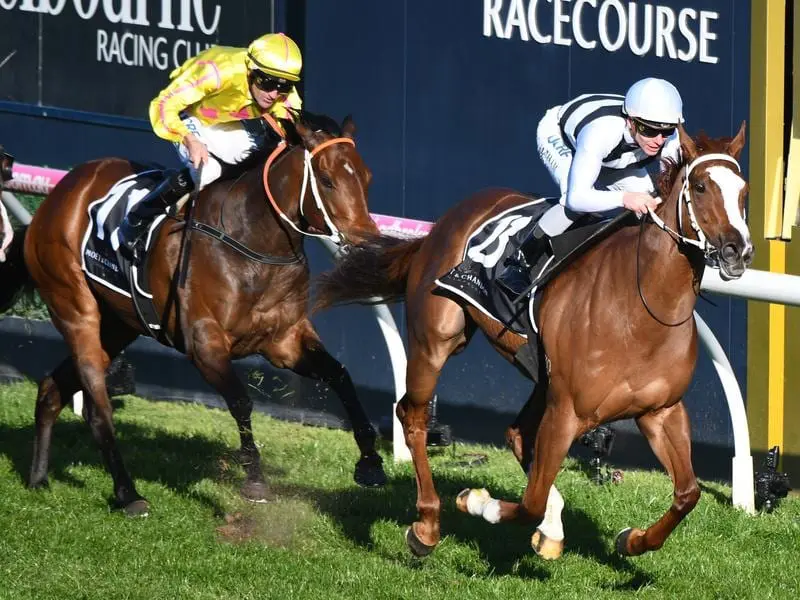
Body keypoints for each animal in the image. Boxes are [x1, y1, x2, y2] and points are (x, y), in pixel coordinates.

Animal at [0, 112, 388, 516]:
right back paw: (128, 493)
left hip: (117, 325)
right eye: (327, 180)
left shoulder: (284, 341)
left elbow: (340, 375)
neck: (252, 242)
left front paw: (370, 463)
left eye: (366, 177)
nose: (367, 241)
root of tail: (59, 194)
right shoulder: (204, 344)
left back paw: (38, 478)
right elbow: (241, 401)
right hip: (77, 310)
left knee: (51, 389)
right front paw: (255, 480)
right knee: (99, 407)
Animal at [316, 124, 752, 560]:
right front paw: (478, 502)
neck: (641, 309)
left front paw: (631, 540)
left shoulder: (661, 411)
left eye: (744, 191)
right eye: (700, 186)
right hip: (436, 340)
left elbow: (688, 493)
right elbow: (529, 503)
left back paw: (551, 529)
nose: (738, 251)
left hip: (541, 378)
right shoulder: (567, 411)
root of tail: (447, 220)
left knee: (516, 435)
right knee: (413, 414)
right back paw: (427, 525)